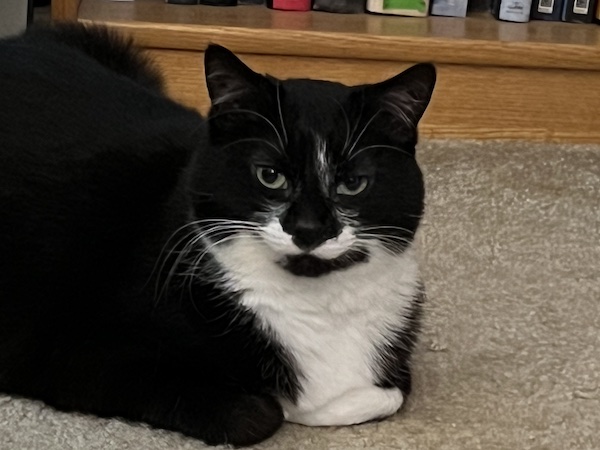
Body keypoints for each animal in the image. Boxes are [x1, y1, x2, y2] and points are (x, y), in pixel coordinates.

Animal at [0, 23, 434, 446]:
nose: (309, 229)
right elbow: (263, 415)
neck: (317, 304)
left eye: (353, 184)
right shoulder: (70, 355)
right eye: (269, 175)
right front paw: (290, 403)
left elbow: (394, 392)